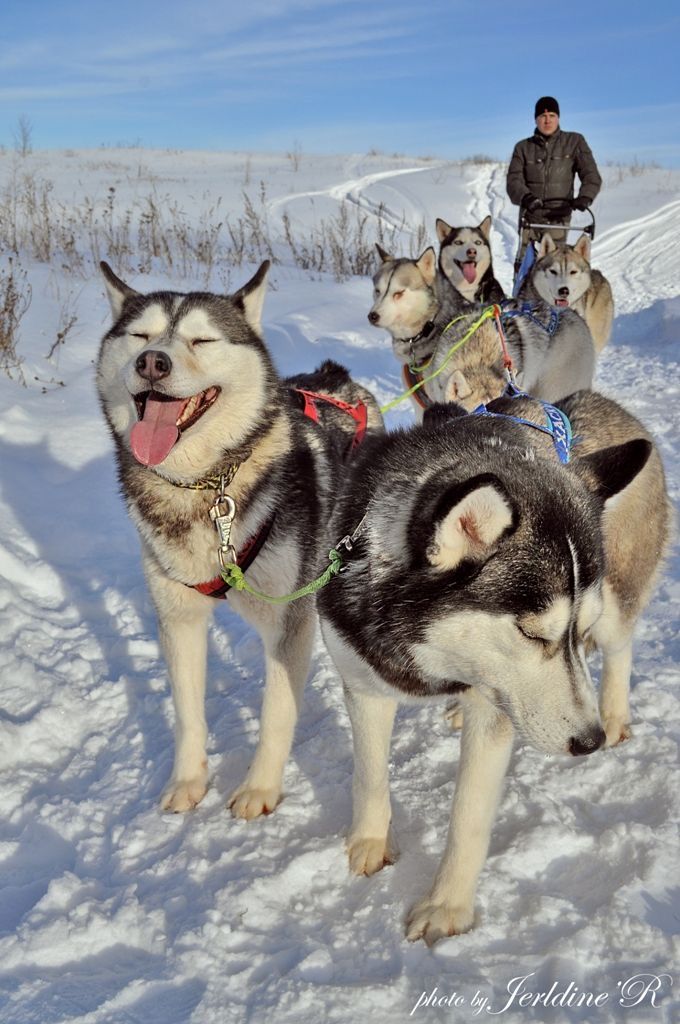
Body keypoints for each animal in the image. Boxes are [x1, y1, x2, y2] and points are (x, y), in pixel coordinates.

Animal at [95, 260, 383, 819]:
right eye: (140, 335)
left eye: (201, 339)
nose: (152, 362)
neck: (207, 486)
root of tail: (336, 378)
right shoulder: (179, 617)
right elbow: (188, 713)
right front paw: (188, 781)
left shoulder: (288, 621)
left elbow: (276, 712)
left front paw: (260, 789)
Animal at [317, 389, 667, 942]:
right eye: (531, 632)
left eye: (574, 630)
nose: (588, 742)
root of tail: (596, 400)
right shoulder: (362, 679)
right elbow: (369, 774)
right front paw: (369, 843)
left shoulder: (495, 711)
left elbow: (469, 815)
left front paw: (446, 908)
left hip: (615, 604)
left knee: (620, 648)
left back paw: (614, 715)